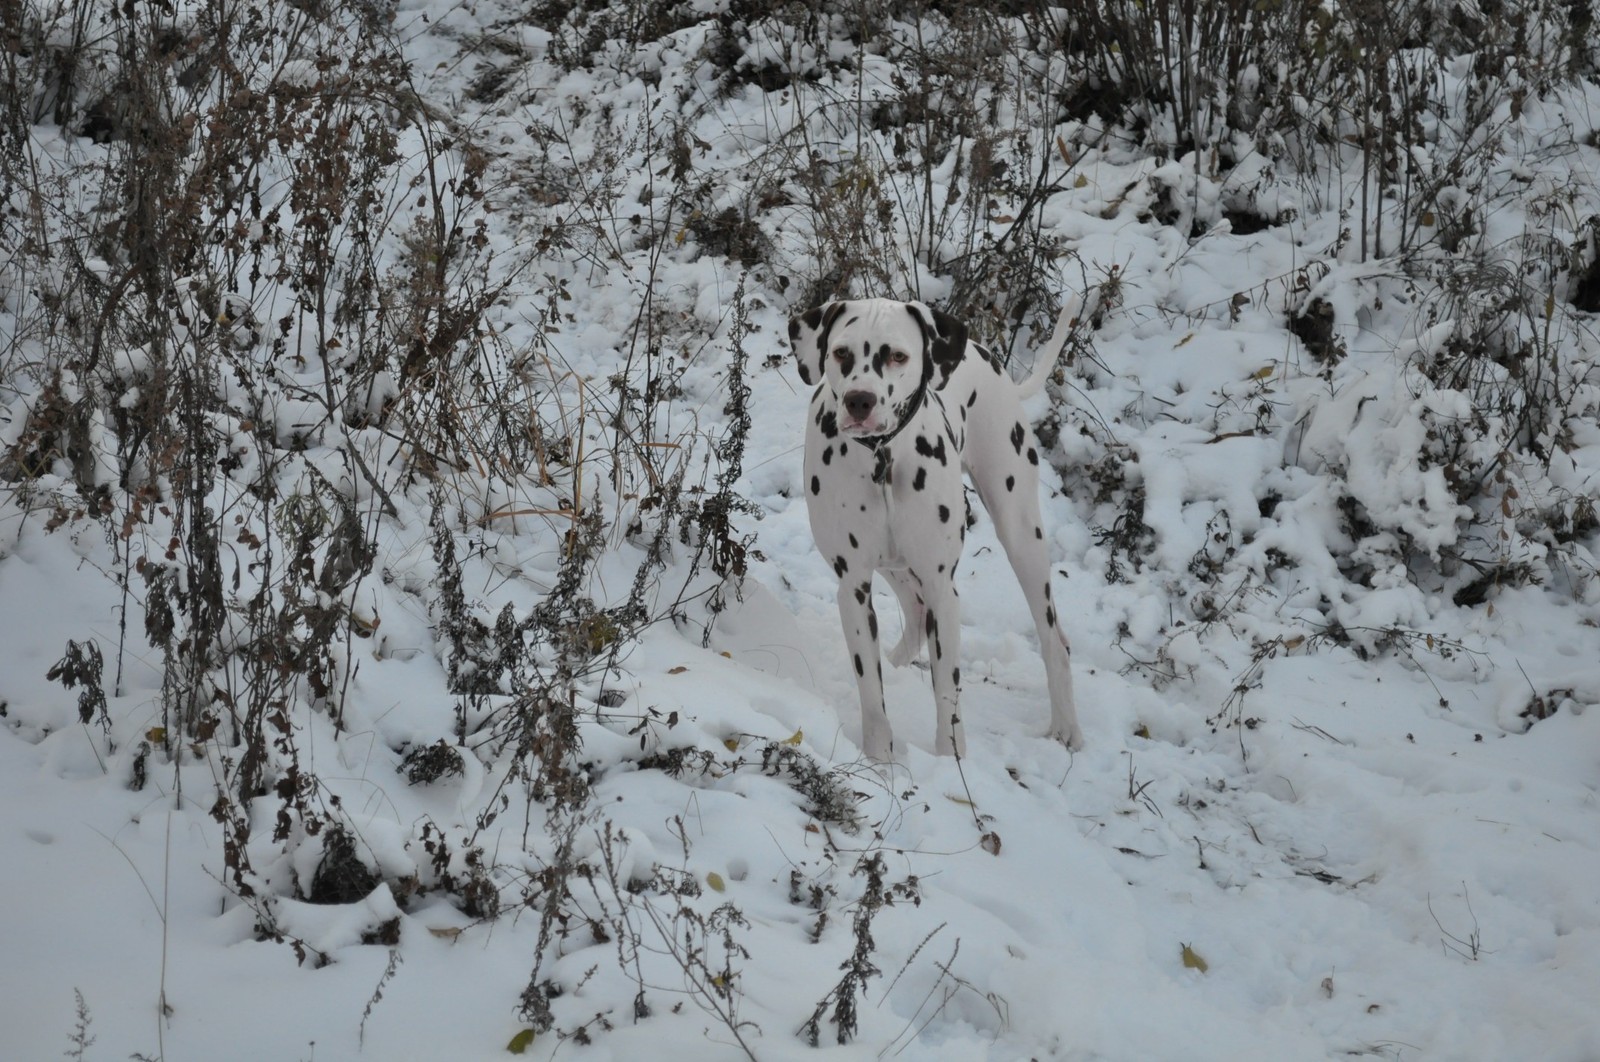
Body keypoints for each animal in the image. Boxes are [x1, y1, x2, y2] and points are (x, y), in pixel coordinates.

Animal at [790, 299, 1088, 764]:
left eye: (897, 356)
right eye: (840, 353)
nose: (860, 400)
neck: (883, 457)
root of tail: (987, 356)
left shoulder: (942, 587)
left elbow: (947, 689)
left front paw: (950, 761)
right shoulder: (853, 586)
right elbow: (870, 688)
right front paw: (880, 759)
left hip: (1021, 535)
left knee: (1054, 639)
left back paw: (1066, 727)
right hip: (895, 564)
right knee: (913, 615)